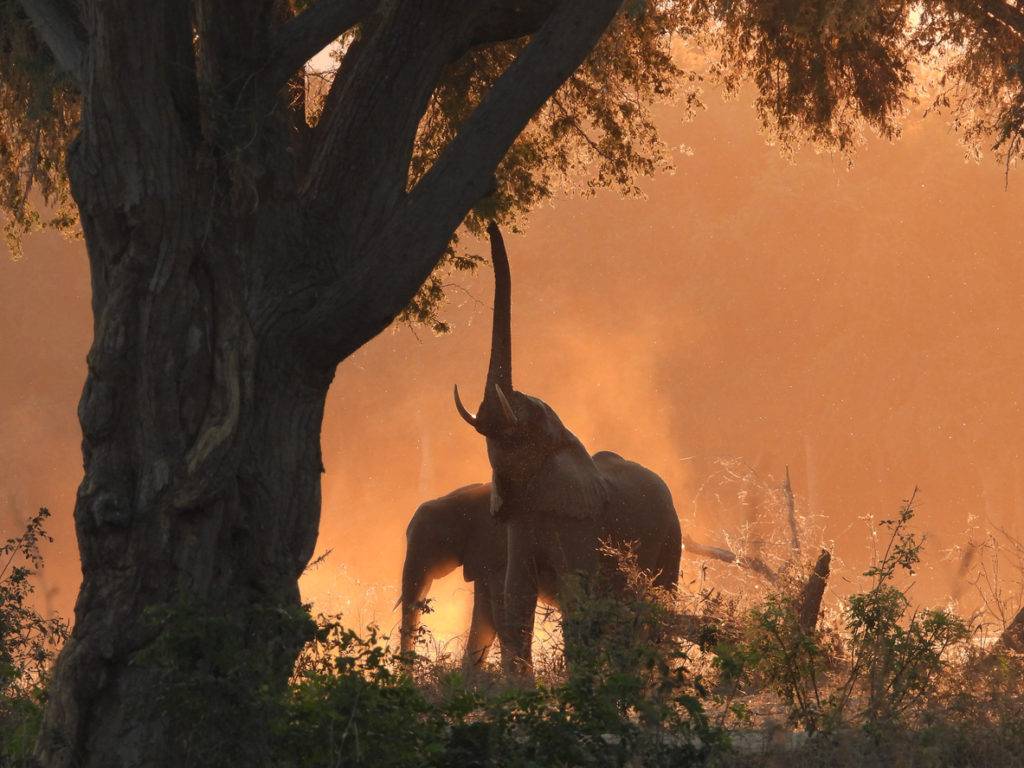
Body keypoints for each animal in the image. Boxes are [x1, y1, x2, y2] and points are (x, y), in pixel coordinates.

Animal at [454, 219, 679, 675]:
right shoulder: (521, 519)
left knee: (656, 605)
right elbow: (516, 599)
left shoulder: (580, 523)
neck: (563, 443)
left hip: (672, 538)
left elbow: (578, 600)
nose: (491, 221)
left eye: (527, 426)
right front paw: (519, 686)